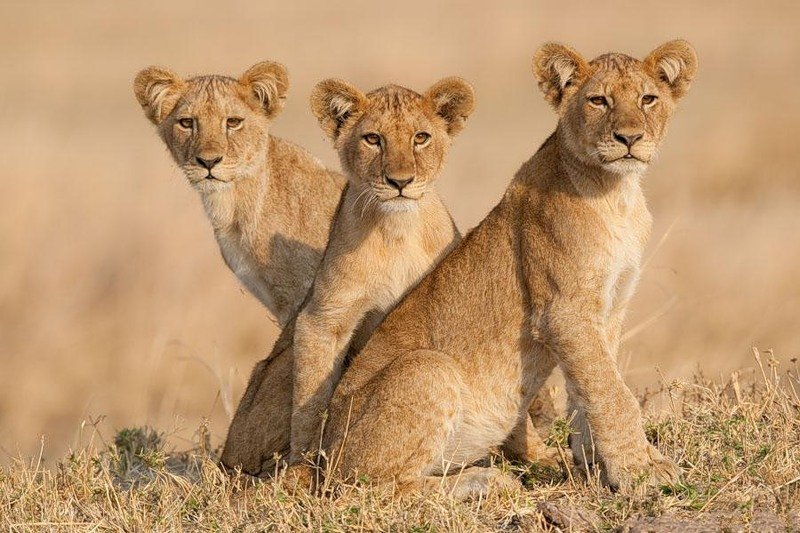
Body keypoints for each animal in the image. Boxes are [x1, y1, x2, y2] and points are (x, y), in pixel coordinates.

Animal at [220, 78, 475, 475]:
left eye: (421, 137)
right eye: (373, 139)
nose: (400, 182)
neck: (396, 229)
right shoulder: (323, 318)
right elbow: (310, 401)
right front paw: (304, 466)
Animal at [314, 40, 697, 499]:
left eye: (648, 99)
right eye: (598, 101)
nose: (629, 137)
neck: (617, 194)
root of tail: (322, 455)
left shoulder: (610, 306)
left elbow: (589, 388)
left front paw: (594, 463)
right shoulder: (564, 312)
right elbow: (611, 394)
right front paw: (641, 471)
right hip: (425, 370)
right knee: (368, 488)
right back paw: (485, 480)